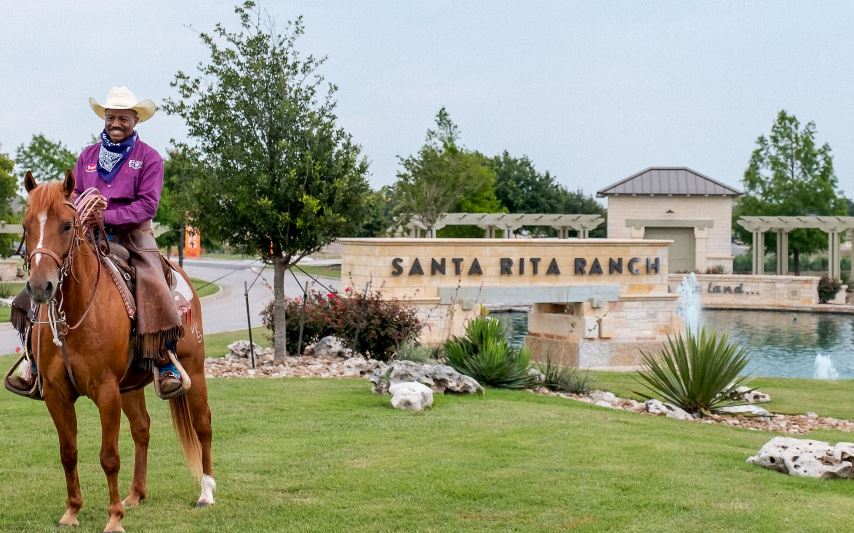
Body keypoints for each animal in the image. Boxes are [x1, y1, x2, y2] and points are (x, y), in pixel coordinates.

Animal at [20, 171, 214, 532]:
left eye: (67, 225)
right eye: (25, 226)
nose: (41, 287)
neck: (77, 312)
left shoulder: (106, 390)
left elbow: (109, 456)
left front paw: (113, 518)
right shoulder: (56, 394)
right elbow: (68, 452)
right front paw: (72, 511)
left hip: (193, 369)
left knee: (203, 425)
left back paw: (207, 492)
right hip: (130, 386)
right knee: (142, 428)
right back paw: (136, 494)